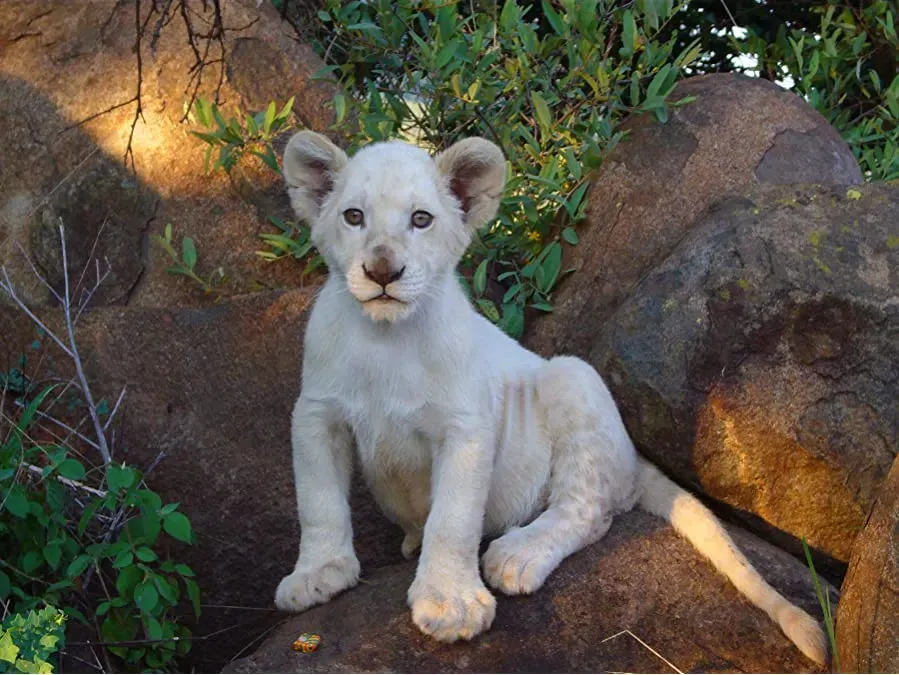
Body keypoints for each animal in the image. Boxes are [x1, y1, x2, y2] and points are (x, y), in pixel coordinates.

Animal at [272, 130, 827, 665]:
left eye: (421, 219)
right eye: (354, 216)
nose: (383, 272)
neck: (384, 337)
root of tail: (632, 460)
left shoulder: (466, 427)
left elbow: (453, 518)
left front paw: (450, 604)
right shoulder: (315, 415)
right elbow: (319, 501)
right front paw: (319, 574)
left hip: (571, 378)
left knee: (588, 510)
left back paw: (518, 554)